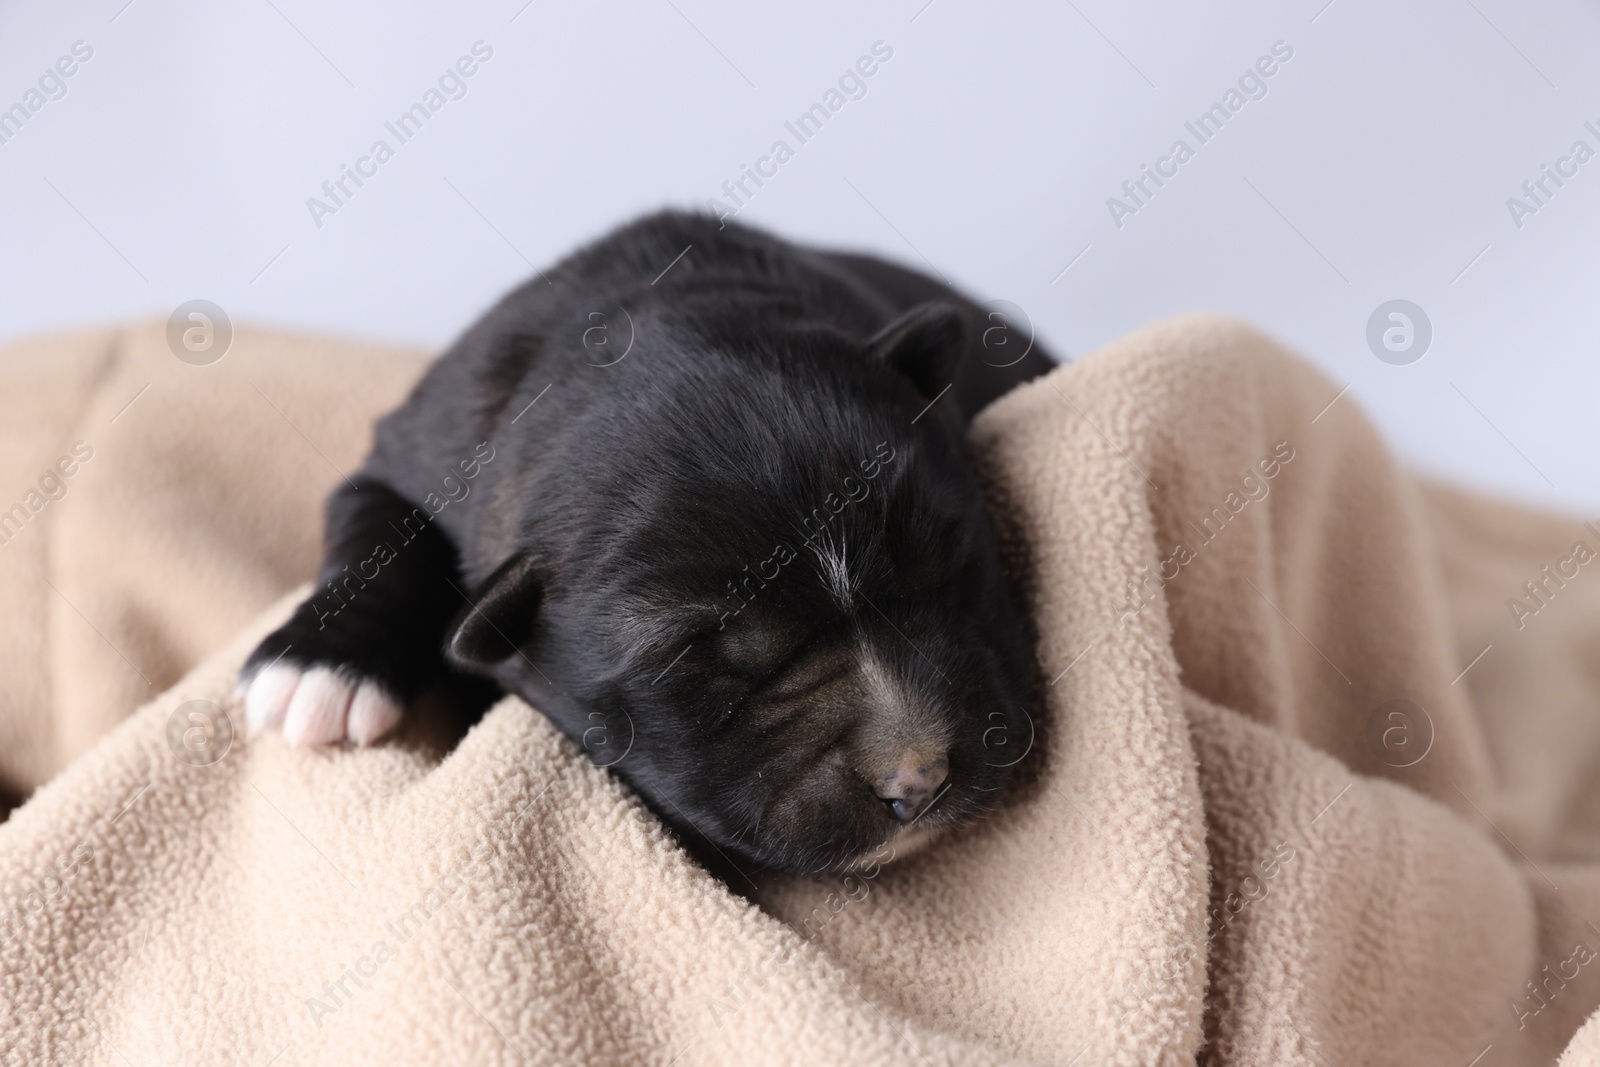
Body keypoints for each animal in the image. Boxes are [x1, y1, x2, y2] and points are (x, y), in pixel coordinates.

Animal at [236, 211, 1056, 876]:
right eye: (703, 656)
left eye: (951, 559)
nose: (920, 778)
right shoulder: (400, 457)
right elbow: (382, 537)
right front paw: (320, 667)